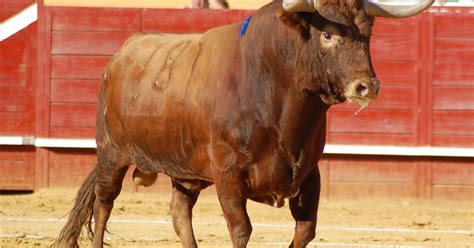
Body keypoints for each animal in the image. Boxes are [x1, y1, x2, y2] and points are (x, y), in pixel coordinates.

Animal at [53, 0, 432, 247]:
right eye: (328, 36)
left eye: (368, 33)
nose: (367, 86)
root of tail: (121, 53)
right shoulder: (229, 176)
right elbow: (241, 230)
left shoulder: (310, 174)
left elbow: (305, 231)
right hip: (112, 154)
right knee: (104, 204)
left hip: (185, 171)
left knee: (179, 214)